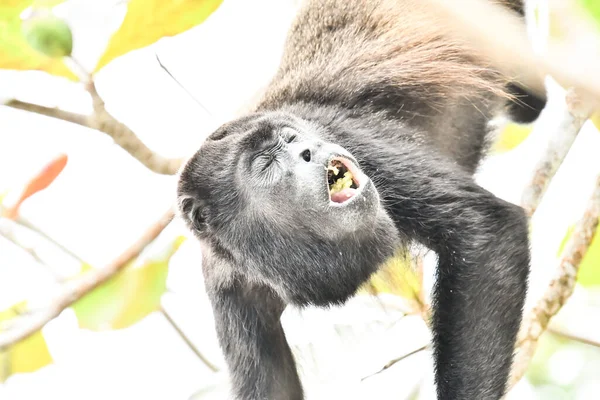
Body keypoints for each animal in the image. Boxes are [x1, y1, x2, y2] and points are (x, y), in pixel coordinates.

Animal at [177, 0, 544, 398]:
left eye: (291, 139)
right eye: (265, 163)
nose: (308, 149)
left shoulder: (348, 136)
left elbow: (486, 229)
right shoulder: (226, 286)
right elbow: (271, 386)